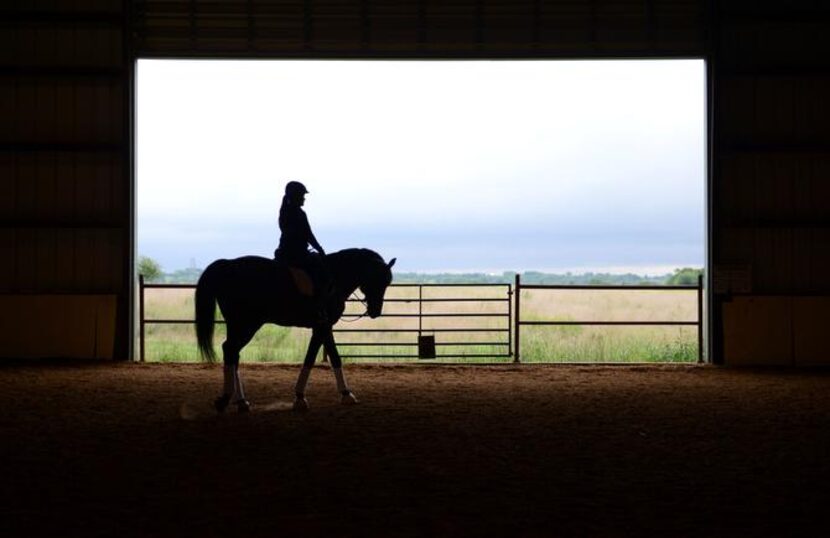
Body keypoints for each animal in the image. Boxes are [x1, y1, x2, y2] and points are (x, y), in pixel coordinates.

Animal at [198, 247, 400, 410]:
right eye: (376, 279)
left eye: (387, 282)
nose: (375, 311)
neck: (335, 278)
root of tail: (227, 264)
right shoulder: (322, 326)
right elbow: (317, 358)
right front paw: (303, 398)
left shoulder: (323, 327)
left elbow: (331, 357)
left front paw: (343, 394)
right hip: (247, 324)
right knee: (231, 350)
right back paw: (226, 399)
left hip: (238, 324)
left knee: (233, 353)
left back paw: (241, 402)